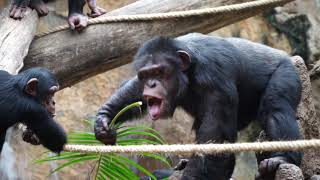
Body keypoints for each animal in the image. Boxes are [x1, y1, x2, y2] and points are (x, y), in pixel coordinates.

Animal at [93, 32, 302, 180]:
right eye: (146, 74)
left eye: (159, 72)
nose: (151, 84)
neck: (189, 71)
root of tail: (288, 55)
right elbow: (136, 90)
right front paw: (104, 119)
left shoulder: (216, 81)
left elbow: (214, 146)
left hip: (286, 72)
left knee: (275, 109)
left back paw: (282, 159)